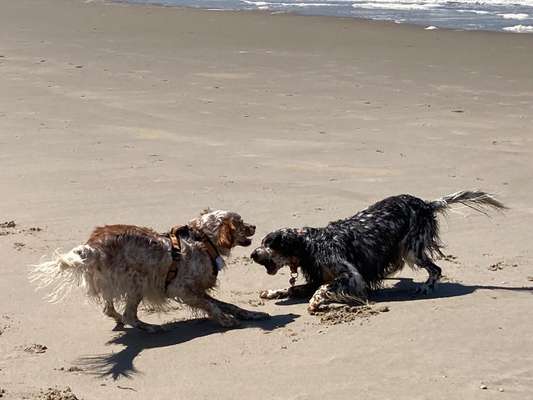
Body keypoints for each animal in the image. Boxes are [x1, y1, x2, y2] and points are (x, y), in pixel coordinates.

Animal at [31, 209, 268, 332]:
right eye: (240, 222)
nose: (255, 226)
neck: (202, 239)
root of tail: (93, 244)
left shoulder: (197, 290)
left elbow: (228, 304)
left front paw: (253, 314)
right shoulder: (180, 289)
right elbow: (212, 305)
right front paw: (226, 320)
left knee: (110, 310)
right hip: (137, 282)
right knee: (129, 315)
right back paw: (150, 327)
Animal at [249, 191, 502, 312]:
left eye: (268, 243)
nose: (252, 254)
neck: (311, 244)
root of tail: (426, 204)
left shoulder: (351, 276)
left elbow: (323, 288)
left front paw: (314, 302)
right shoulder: (319, 276)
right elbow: (293, 288)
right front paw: (272, 292)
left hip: (412, 249)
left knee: (436, 269)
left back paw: (425, 287)